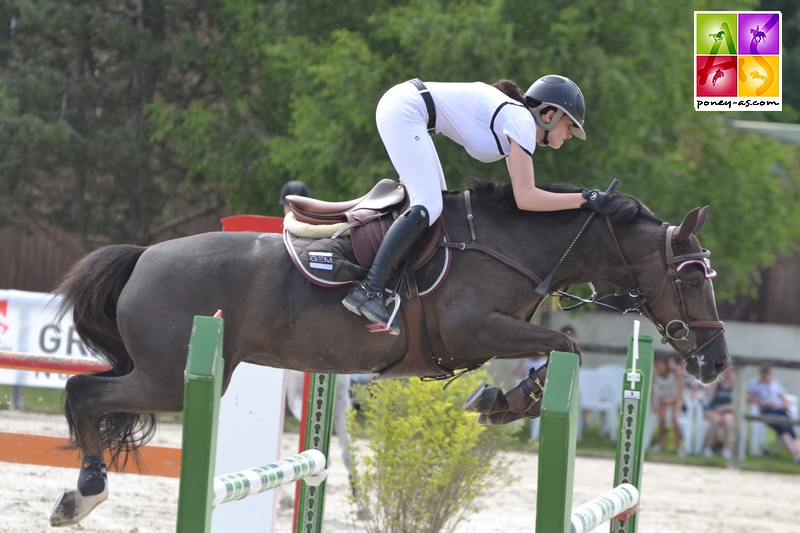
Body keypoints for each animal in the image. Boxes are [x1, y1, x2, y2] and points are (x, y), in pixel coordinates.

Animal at [47, 180, 728, 524]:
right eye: (693, 276)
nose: (716, 362)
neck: (515, 242)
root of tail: (144, 257)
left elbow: (557, 348)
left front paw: (498, 401)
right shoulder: (477, 329)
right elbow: (568, 344)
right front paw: (506, 402)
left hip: (161, 373)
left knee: (89, 393)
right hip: (170, 378)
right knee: (82, 391)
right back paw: (84, 492)